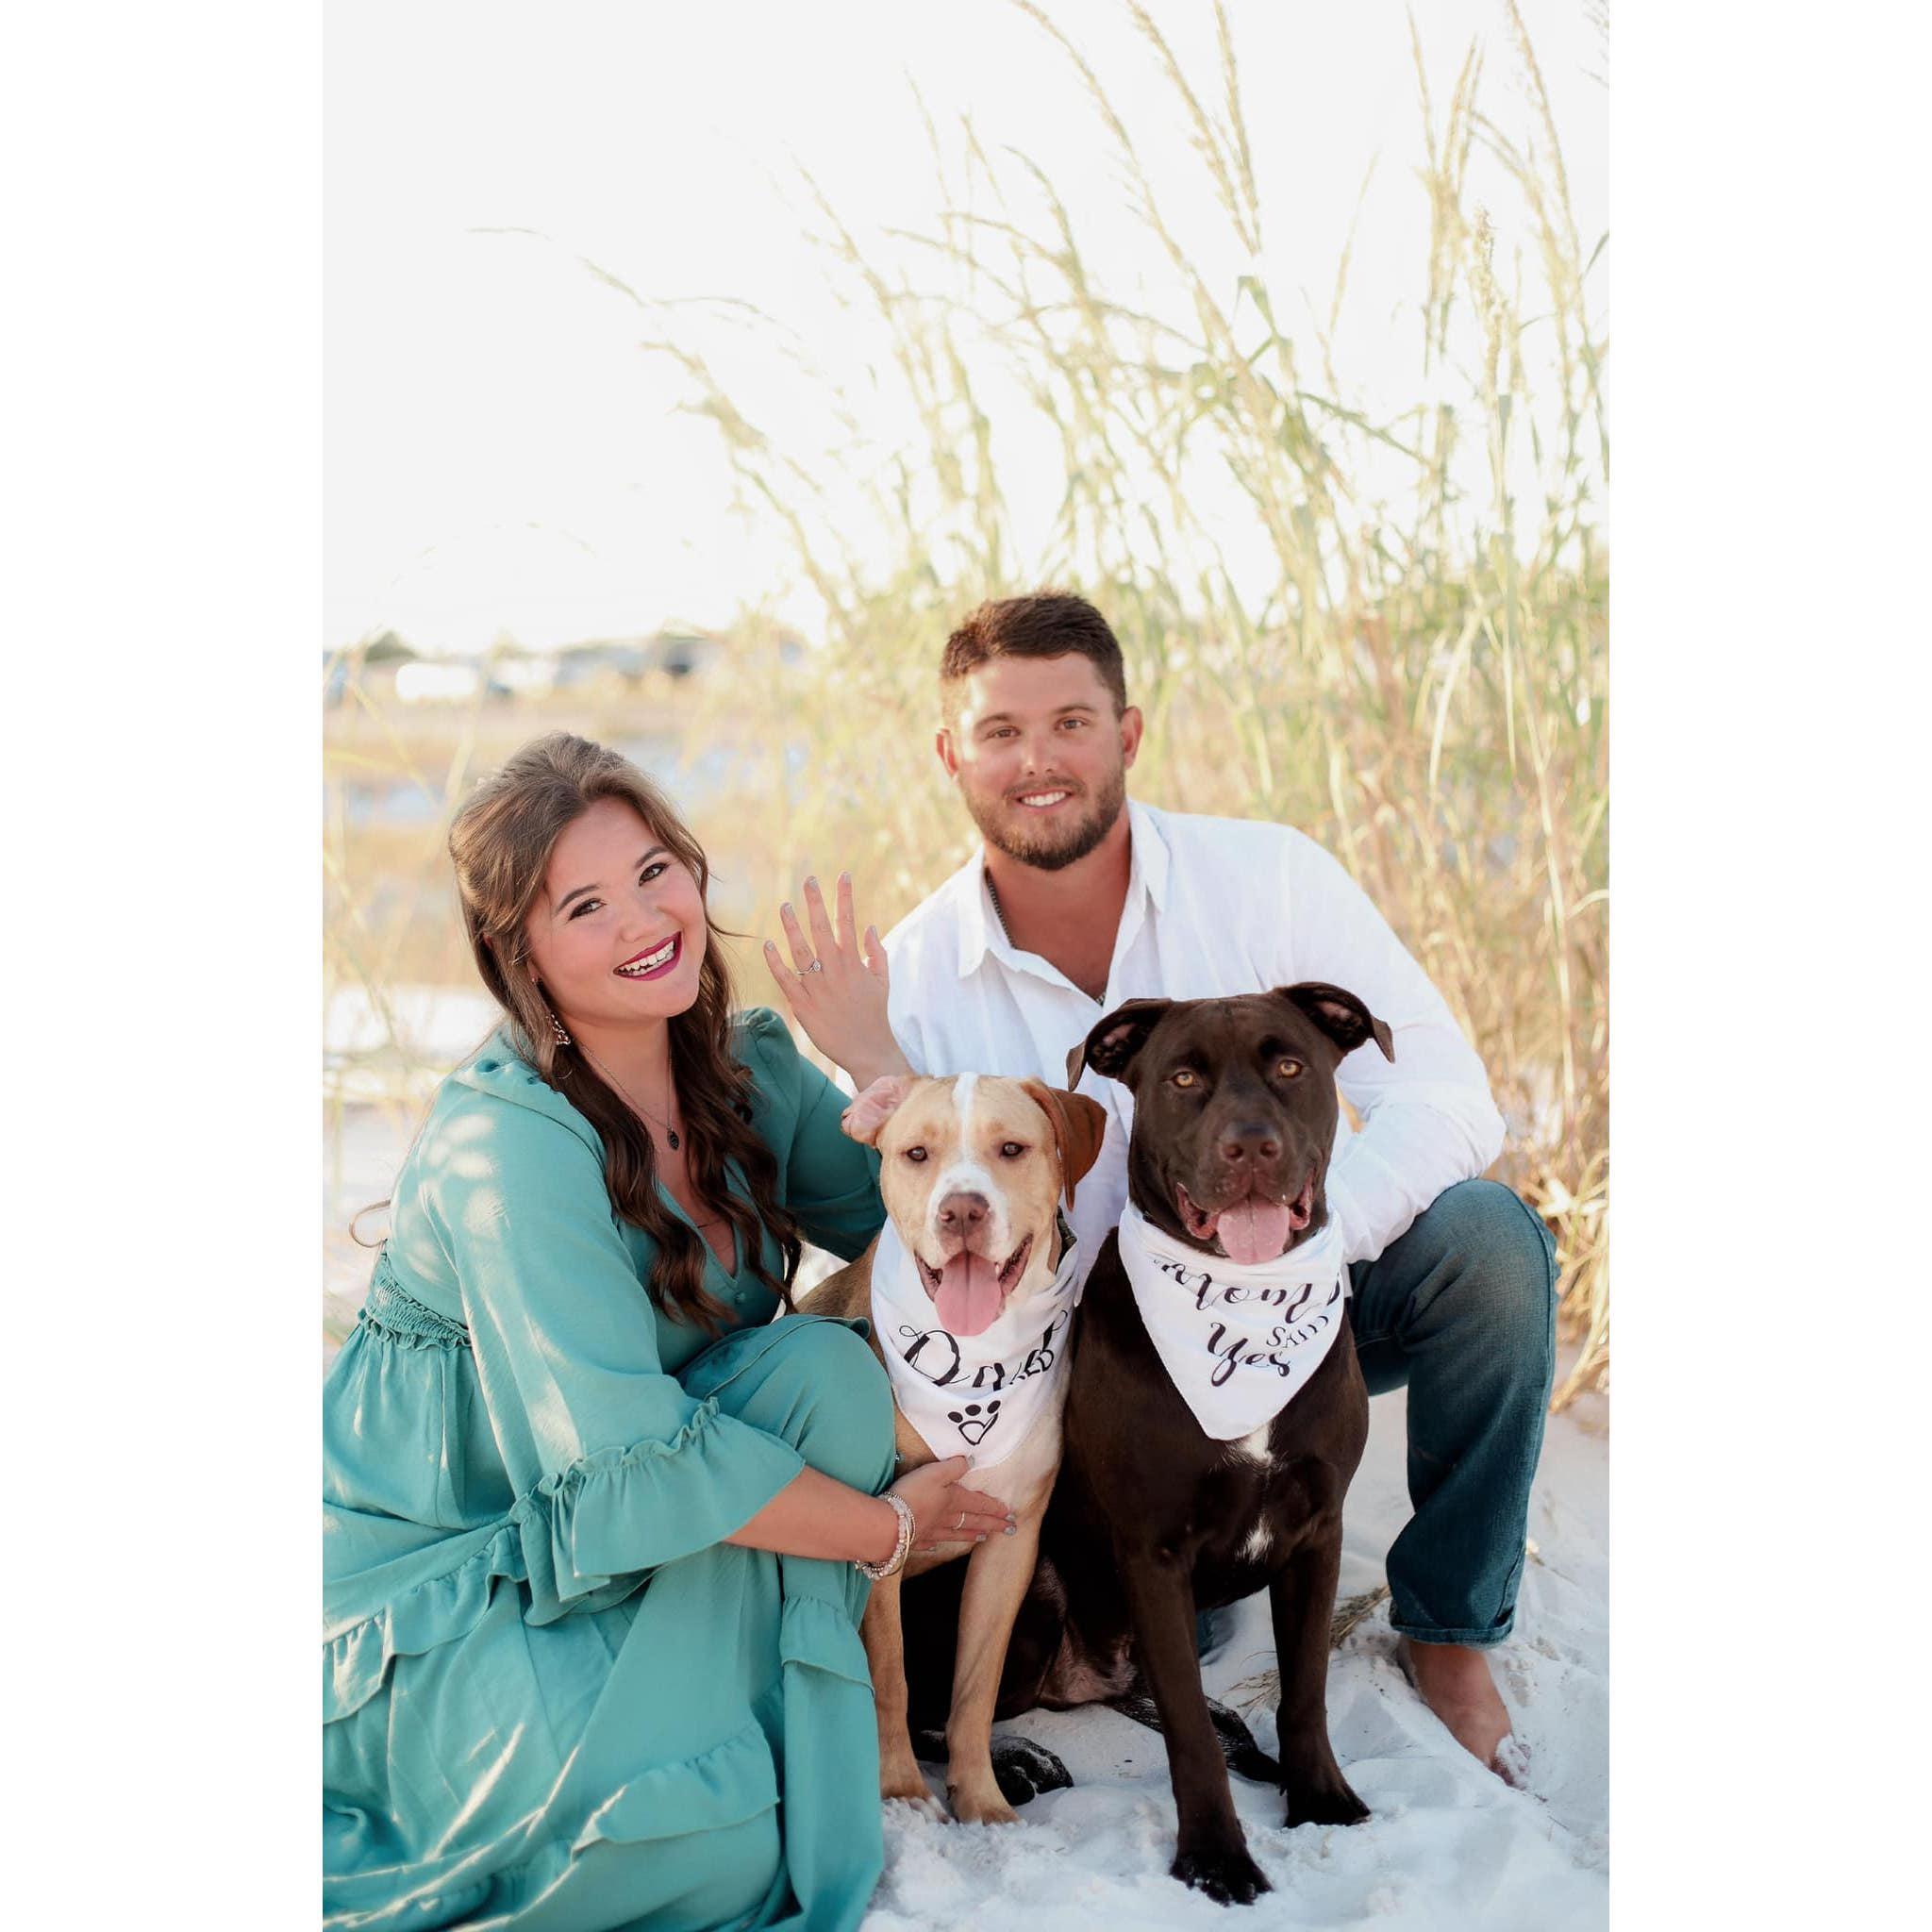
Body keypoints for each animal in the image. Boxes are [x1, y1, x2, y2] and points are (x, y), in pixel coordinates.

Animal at [803, 1074, 1105, 1824]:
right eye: (916, 1153)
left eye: (1011, 1149)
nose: (961, 1210)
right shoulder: (879, 1540)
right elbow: (890, 1682)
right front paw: (902, 1792)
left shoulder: (1010, 1545)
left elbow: (975, 1692)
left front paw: (982, 1799)